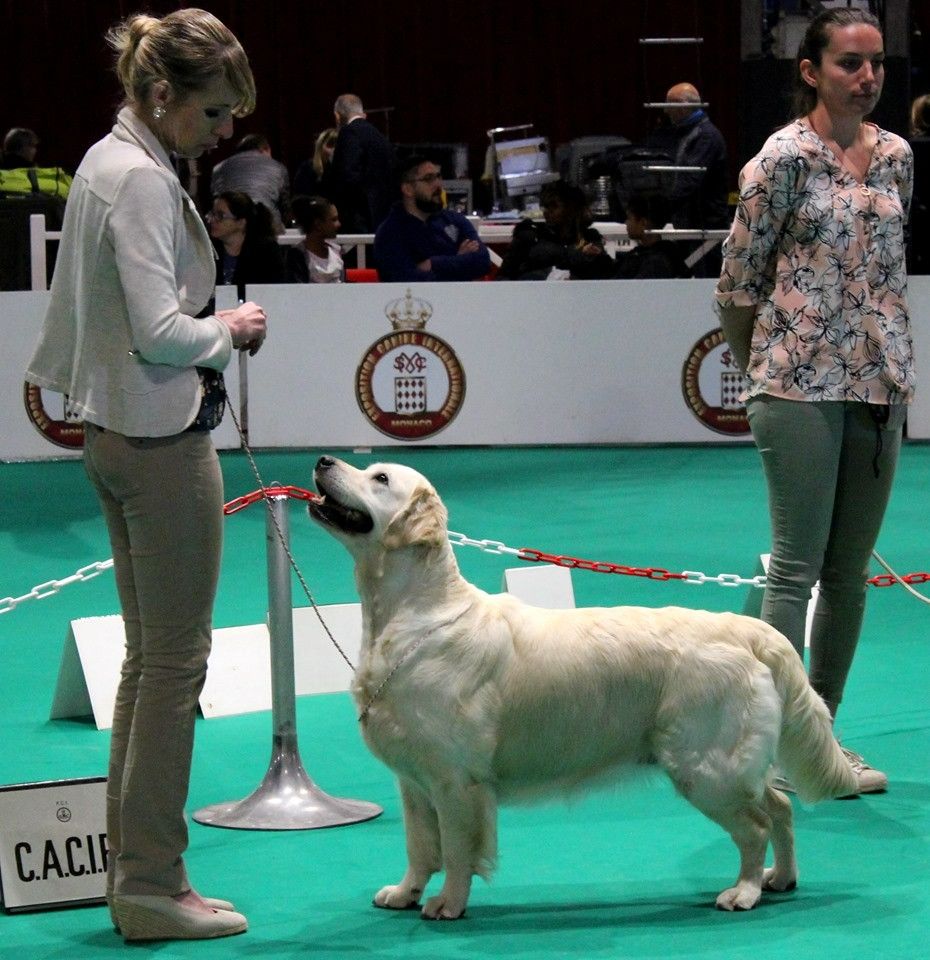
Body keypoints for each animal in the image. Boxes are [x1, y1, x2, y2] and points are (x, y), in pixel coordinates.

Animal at [307, 456, 857, 920]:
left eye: (380, 478)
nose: (323, 460)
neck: (415, 614)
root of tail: (749, 629)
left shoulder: (455, 780)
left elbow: (458, 849)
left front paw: (448, 903)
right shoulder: (414, 780)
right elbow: (420, 847)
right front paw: (405, 892)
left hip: (705, 766)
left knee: (757, 825)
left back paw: (744, 890)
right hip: (729, 762)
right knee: (781, 808)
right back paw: (779, 878)